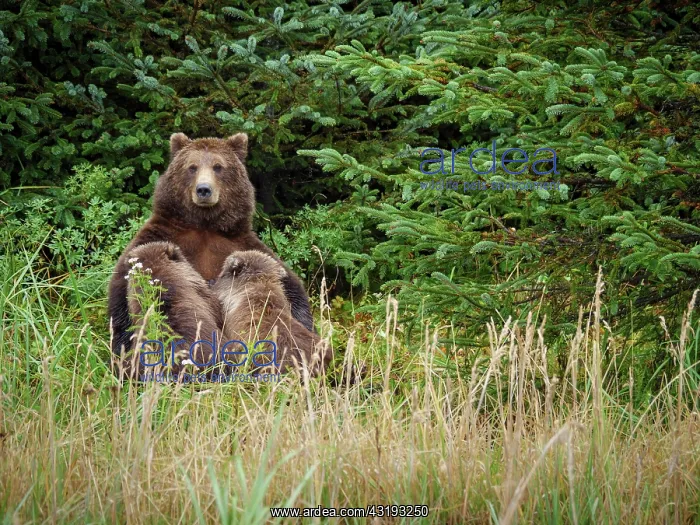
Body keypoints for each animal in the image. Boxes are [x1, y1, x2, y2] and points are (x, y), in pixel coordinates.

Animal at [108, 132, 314, 364]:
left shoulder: (240, 244)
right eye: (192, 166)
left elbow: (291, 288)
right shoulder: (160, 237)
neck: (204, 225)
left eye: (218, 166)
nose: (204, 190)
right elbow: (121, 298)